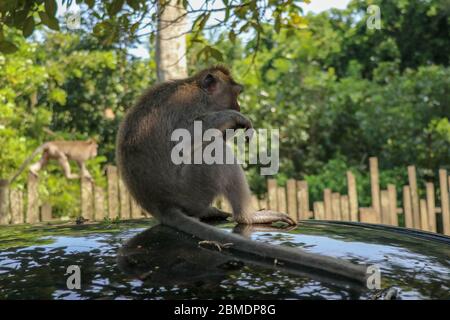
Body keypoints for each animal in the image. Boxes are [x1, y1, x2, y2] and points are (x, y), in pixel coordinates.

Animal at [117, 65, 370, 282]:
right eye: (236, 94)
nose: (238, 107)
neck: (195, 88)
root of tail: (159, 205)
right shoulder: (190, 104)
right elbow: (189, 135)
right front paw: (233, 118)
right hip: (190, 187)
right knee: (215, 150)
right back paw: (248, 217)